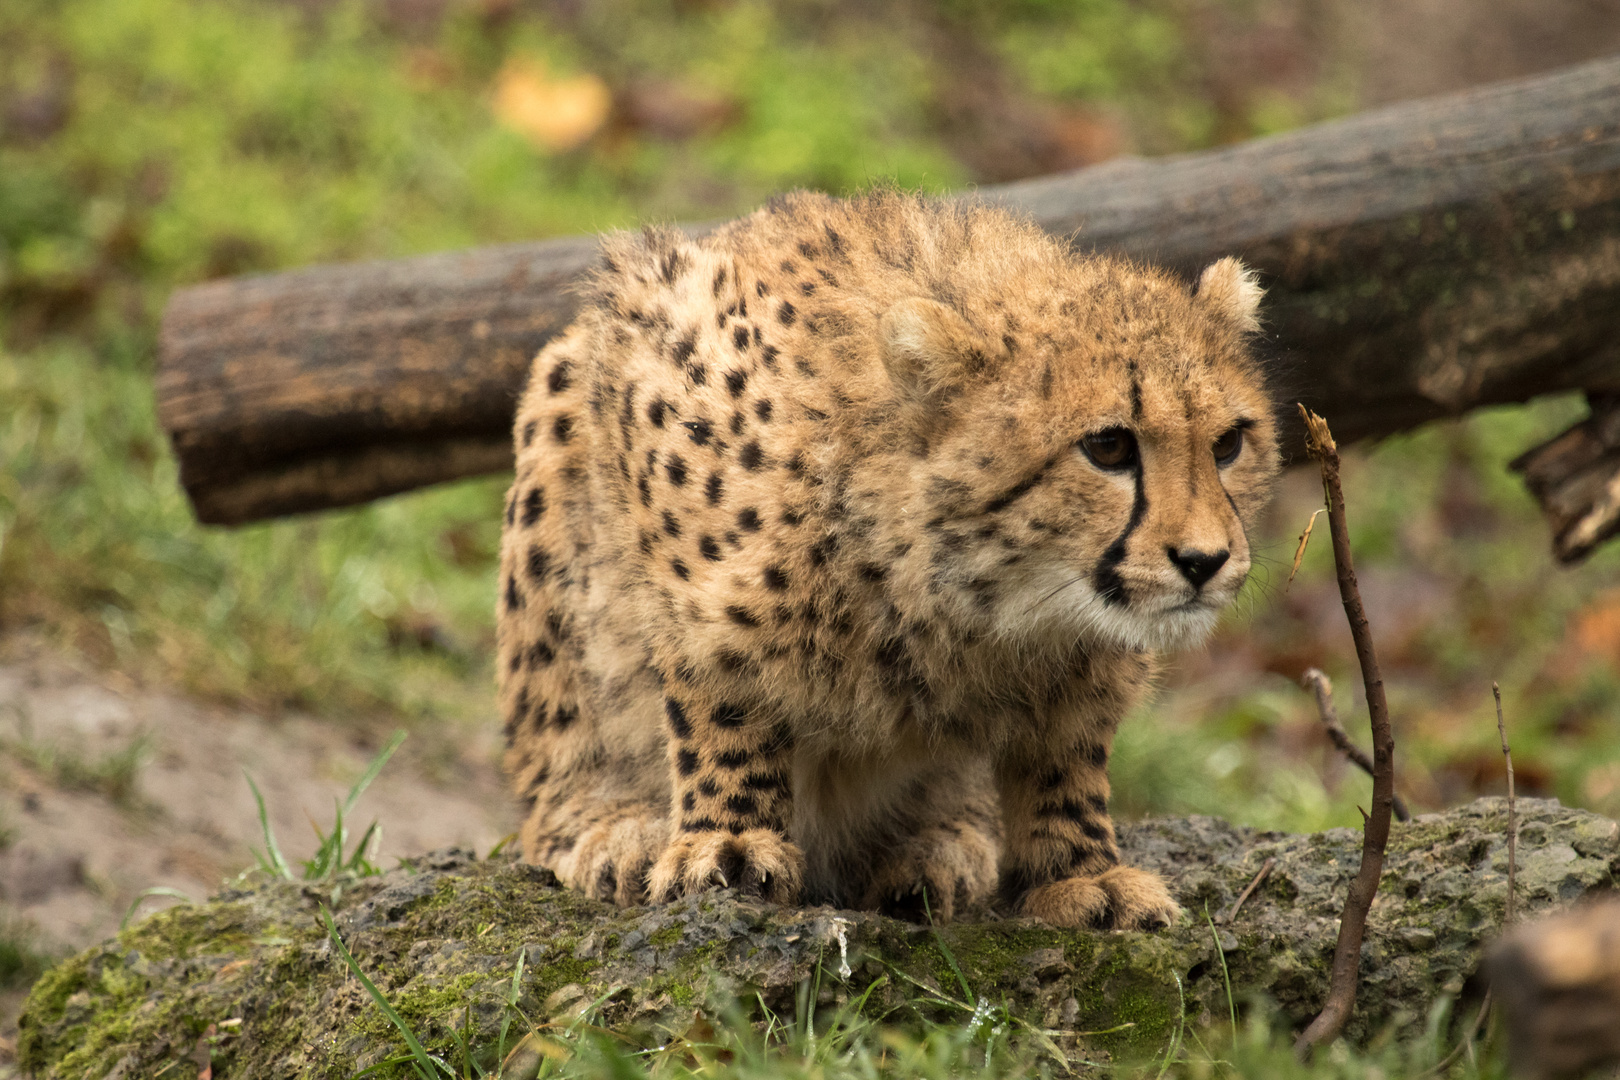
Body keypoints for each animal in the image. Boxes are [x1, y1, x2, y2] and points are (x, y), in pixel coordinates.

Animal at [492, 191, 1276, 932]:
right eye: (1109, 447)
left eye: (1228, 442)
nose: (1205, 561)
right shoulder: (663, 404)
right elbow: (721, 686)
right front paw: (730, 841)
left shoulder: (1084, 654)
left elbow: (1066, 752)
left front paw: (1080, 873)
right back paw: (610, 831)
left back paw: (935, 850)